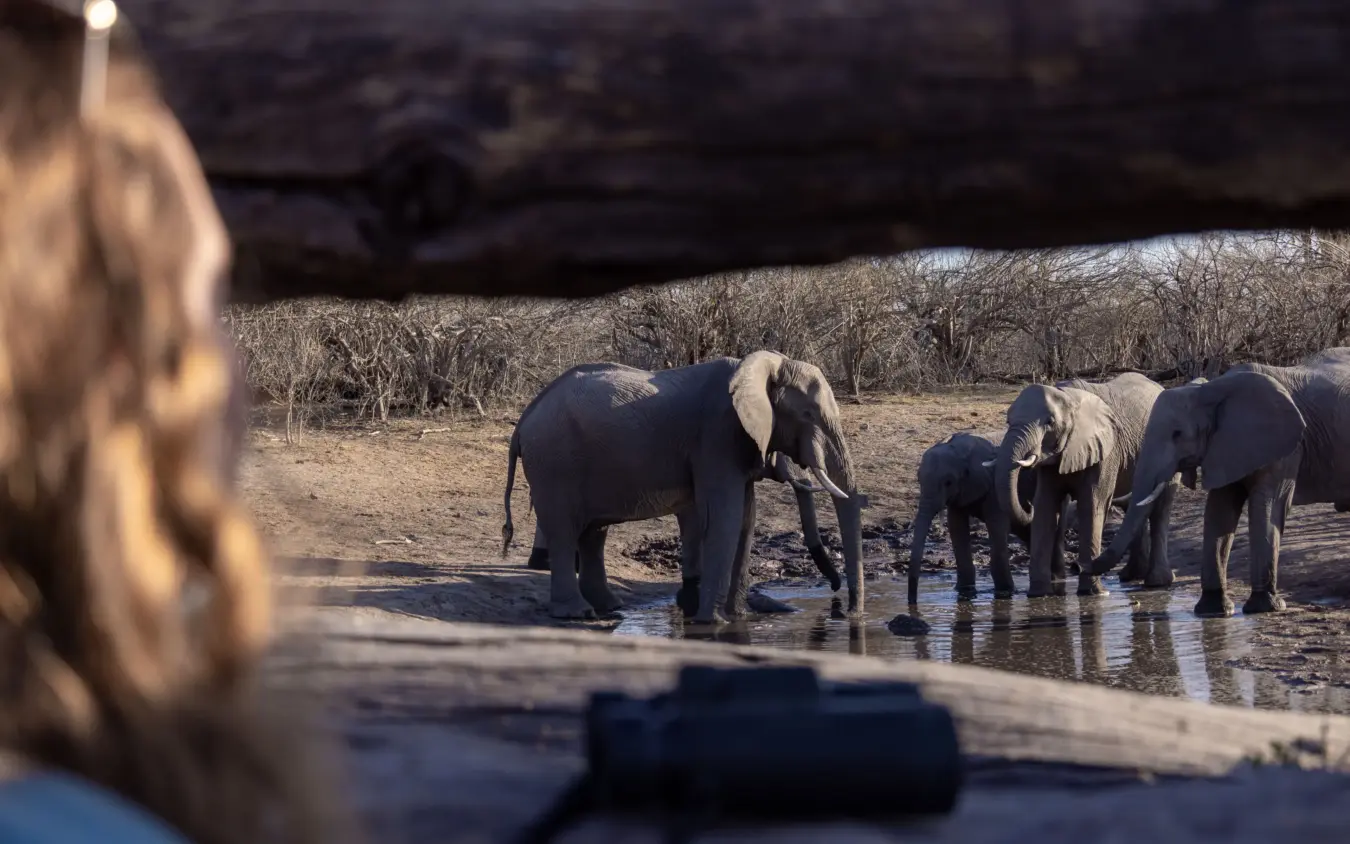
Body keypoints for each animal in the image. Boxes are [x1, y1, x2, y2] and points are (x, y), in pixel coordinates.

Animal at [908, 431, 1131, 604]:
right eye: (918, 480)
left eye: (948, 482)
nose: (912, 602)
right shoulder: (962, 493)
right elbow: (956, 528)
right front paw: (964, 591)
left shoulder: (991, 487)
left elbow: (996, 526)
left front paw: (1005, 592)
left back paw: (1057, 580)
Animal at [993, 372, 1166, 598]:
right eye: (1007, 421)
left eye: (1050, 422)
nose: (1076, 566)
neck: (1067, 396)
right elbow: (1046, 507)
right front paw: (1038, 595)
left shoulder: (1106, 451)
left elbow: (1092, 506)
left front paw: (1093, 593)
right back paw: (1130, 577)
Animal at [1089, 348, 1350, 617]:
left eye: (1177, 434)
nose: (1082, 566)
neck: (1212, 390)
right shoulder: (1224, 446)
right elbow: (1219, 510)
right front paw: (1212, 610)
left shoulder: (1285, 448)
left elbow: (1267, 507)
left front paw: (1264, 607)